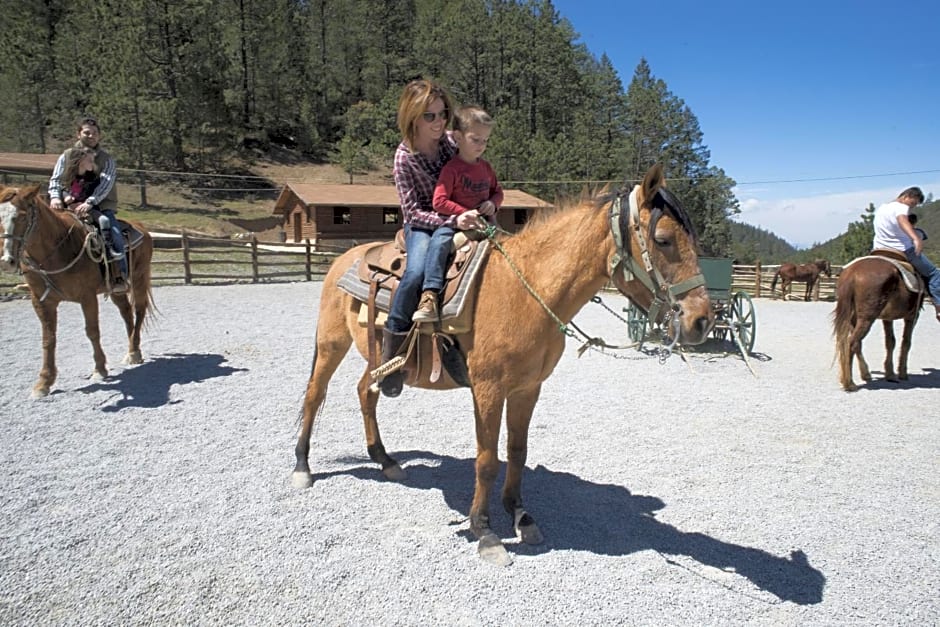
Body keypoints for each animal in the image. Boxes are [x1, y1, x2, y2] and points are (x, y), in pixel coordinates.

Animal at [0, 184, 154, 398]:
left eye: (22, 216)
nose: (7, 261)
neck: (56, 250)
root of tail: (141, 228)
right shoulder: (41, 301)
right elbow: (48, 339)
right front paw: (44, 382)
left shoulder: (87, 296)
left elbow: (92, 331)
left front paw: (100, 369)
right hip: (116, 287)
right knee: (126, 312)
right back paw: (133, 350)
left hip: (139, 277)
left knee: (139, 310)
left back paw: (134, 353)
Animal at [294, 164, 712, 568]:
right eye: (664, 240)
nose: (702, 320)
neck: (525, 290)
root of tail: (344, 258)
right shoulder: (488, 390)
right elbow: (487, 461)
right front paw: (484, 530)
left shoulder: (528, 388)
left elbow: (517, 451)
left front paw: (520, 515)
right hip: (332, 343)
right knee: (316, 395)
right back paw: (303, 467)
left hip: (377, 357)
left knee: (367, 392)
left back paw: (385, 460)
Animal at [832, 255, 920, 392]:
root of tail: (852, 272)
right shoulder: (912, 317)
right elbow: (906, 342)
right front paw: (902, 373)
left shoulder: (888, 318)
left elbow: (890, 342)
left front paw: (890, 374)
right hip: (867, 318)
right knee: (851, 342)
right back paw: (850, 383)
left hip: (853, 317)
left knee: (853, 343)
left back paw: (858, 376)